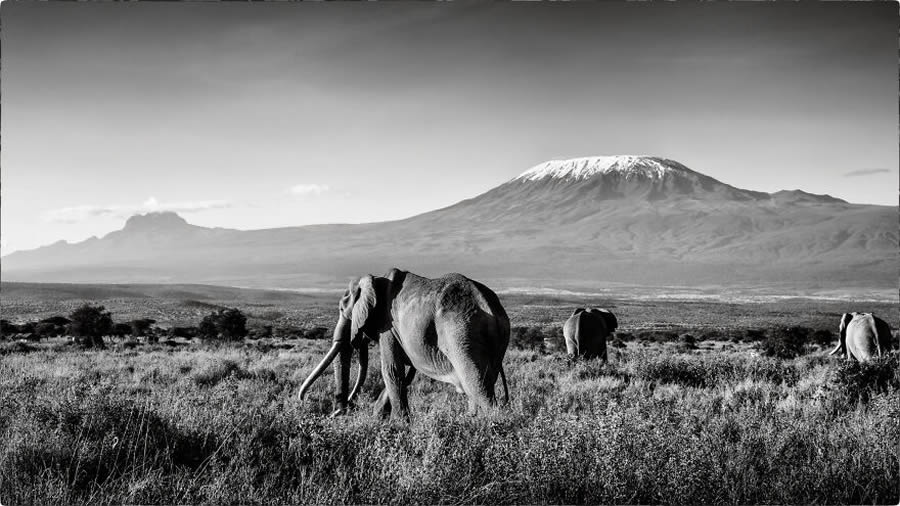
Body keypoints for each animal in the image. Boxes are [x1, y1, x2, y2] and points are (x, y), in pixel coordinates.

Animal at [298, 268, 510, 420]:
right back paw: (472, 422)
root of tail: (489, 305)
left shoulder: (388, 325)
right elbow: (406, 373)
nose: (344, 409)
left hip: (460, 332)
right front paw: (379, 418)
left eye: (342, 309)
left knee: (477, 385)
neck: (376, 280)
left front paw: (398, 425)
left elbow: (391, 370)